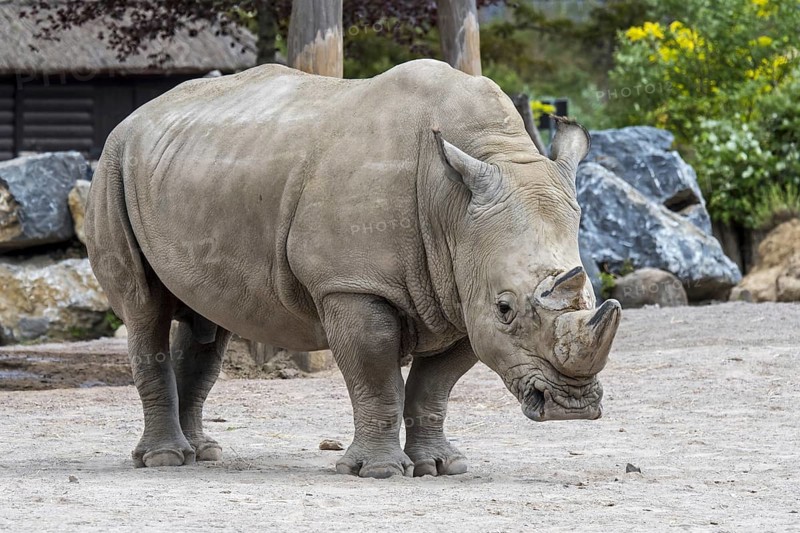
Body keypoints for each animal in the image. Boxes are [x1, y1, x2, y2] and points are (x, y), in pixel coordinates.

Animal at [85, 59, 621, 478]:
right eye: (506, 308)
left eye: (595, 299)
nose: (571, 408)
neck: (453, 206)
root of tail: (138, 115)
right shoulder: (353, 285)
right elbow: (376, 374)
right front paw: (380, 471)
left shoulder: (462, 290)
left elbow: (434, 387)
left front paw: (441, 466)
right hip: (111, 167)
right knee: (144, 309)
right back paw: (165, 460)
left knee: (207, 323)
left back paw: (205, 453)